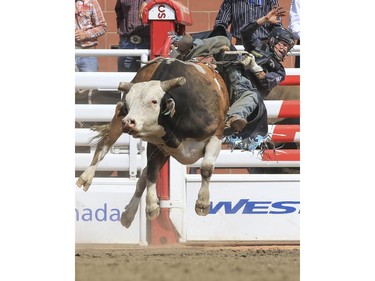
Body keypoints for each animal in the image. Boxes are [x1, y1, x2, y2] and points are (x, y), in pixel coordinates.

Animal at [75, 58, 231, 226]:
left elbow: (206, 168)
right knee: (104, 144)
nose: (128, 122)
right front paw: (151, 206)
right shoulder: (156, 145)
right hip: (118, 121)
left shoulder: (216, 135)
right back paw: (87, 177)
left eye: (154, 101)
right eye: (128, 104)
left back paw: (128, 213)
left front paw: (202, 203)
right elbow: (151, 172)